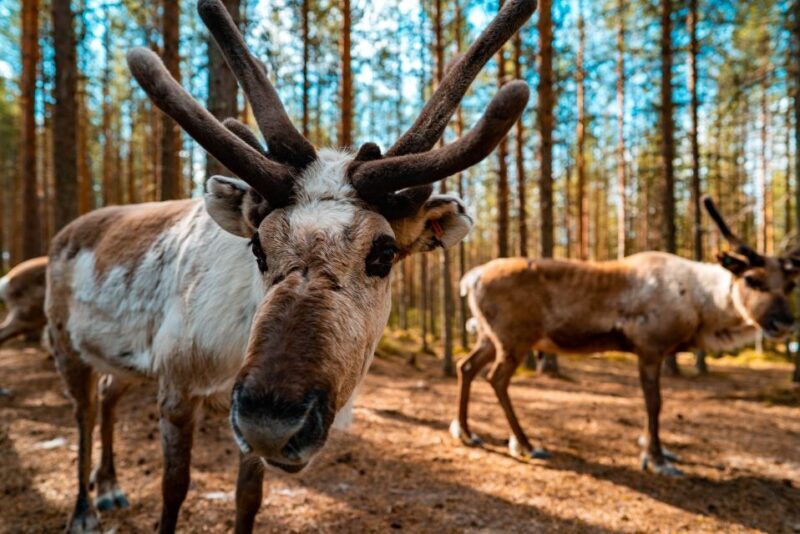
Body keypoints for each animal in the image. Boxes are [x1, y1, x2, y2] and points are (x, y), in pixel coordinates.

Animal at [44, 0, 537, 532]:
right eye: (258, 247)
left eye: (383, 253)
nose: (271, 423)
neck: (234, 348)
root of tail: (65, 232)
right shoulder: (177, 386)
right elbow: (173, 490)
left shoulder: (231, 409)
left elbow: (248, 499)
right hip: (65, 345)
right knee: (82, 413)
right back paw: (83, 508)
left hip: (125, 361)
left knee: (107, 394)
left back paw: (110, 487)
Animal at [453, 197, 798, 477]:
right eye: (752, 280)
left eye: (790, 285)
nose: (785, 323)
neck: (699, 303)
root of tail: (471, 276)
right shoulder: (650, 347)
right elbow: (654, 403)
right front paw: (657, 459)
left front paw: (652, 447)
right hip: (513, 339)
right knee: (496, 378)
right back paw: (526, 444)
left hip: (487, 337)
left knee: (466, 367)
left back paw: (467, 432)